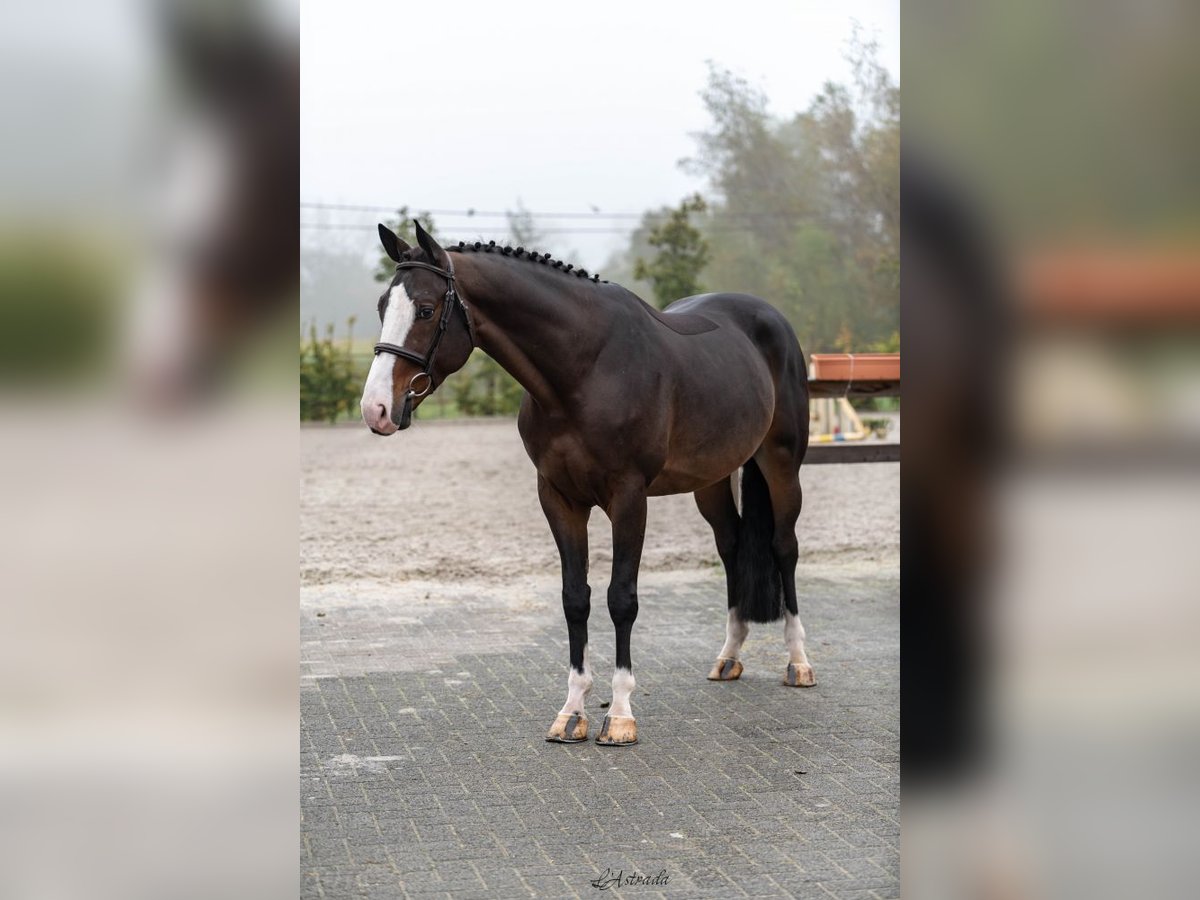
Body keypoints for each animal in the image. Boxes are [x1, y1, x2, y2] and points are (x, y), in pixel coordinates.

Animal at [357, 222, 816, 744]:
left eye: (427, 309)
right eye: (382, 307)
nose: (375, 409)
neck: (584, 370)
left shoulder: (629, 498)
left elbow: (622, 599)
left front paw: (620, 714)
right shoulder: (559, 498)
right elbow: (575, 598)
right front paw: (572, 711)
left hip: (782, 464)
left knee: (783, 547)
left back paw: (799, 662)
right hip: (712, 480)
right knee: (733, 545)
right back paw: (729, 656)